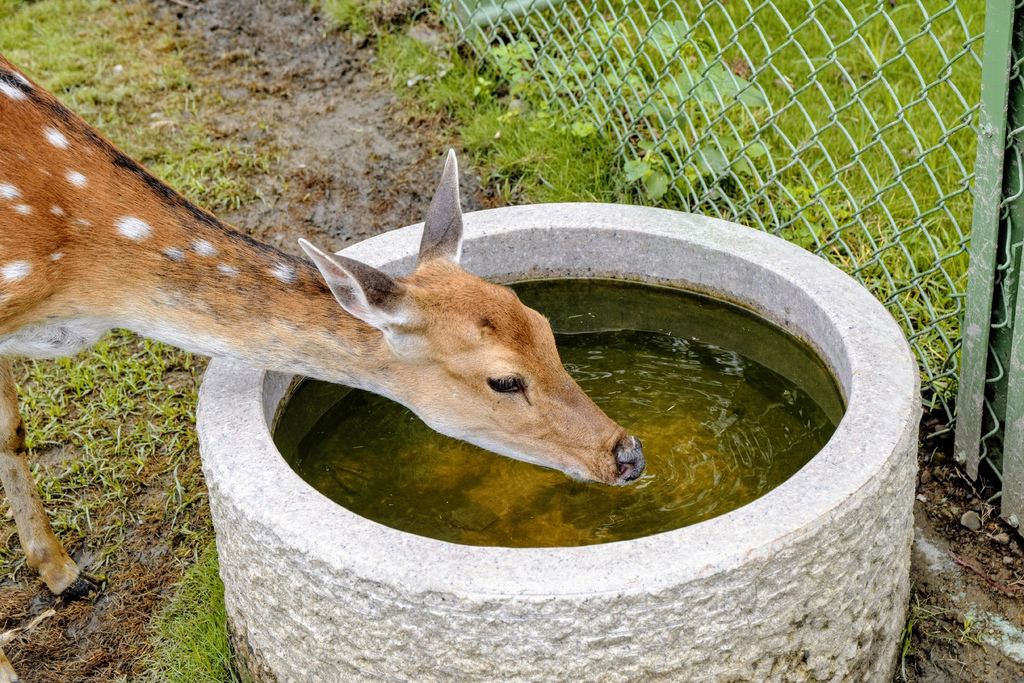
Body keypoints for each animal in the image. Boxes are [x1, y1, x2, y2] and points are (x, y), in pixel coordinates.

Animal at [0, 57, 643, 679]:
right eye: (504, 380)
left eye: (544, 326)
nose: (627, 455)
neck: (78, 279)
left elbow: (11, 430)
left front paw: (66, 575)